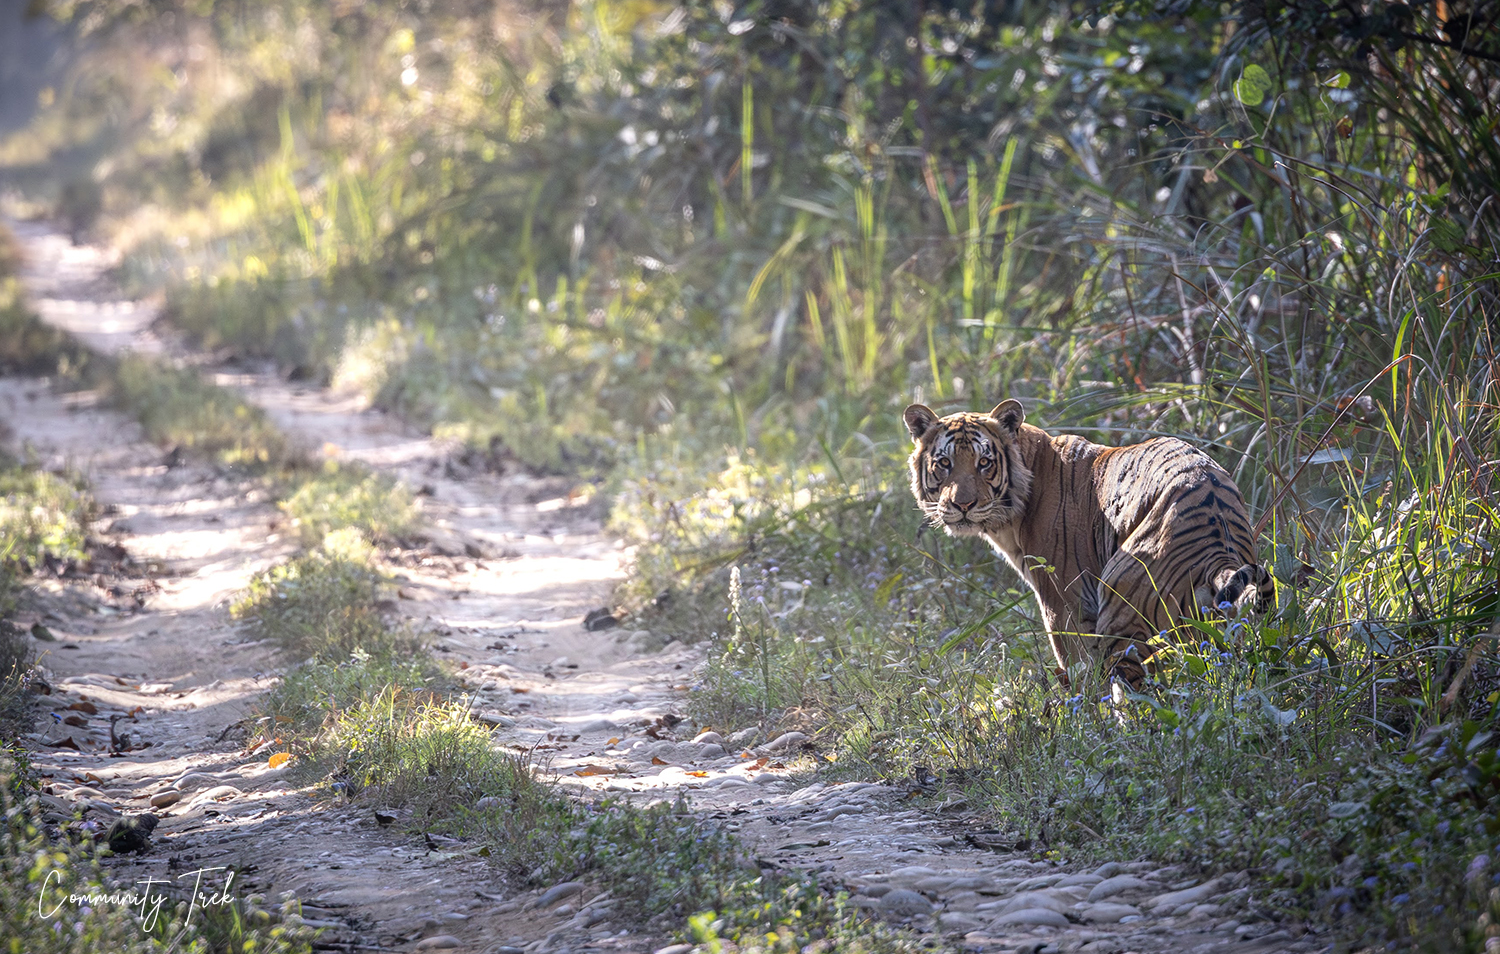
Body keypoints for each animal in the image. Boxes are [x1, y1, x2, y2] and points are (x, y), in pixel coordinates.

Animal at [906, 399, 1272, 690]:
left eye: (984, 463)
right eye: (944, 463)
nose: (962, 505)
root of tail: (1219, 552)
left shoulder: (1062, 603)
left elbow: (1079, 670)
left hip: (1122, 612)